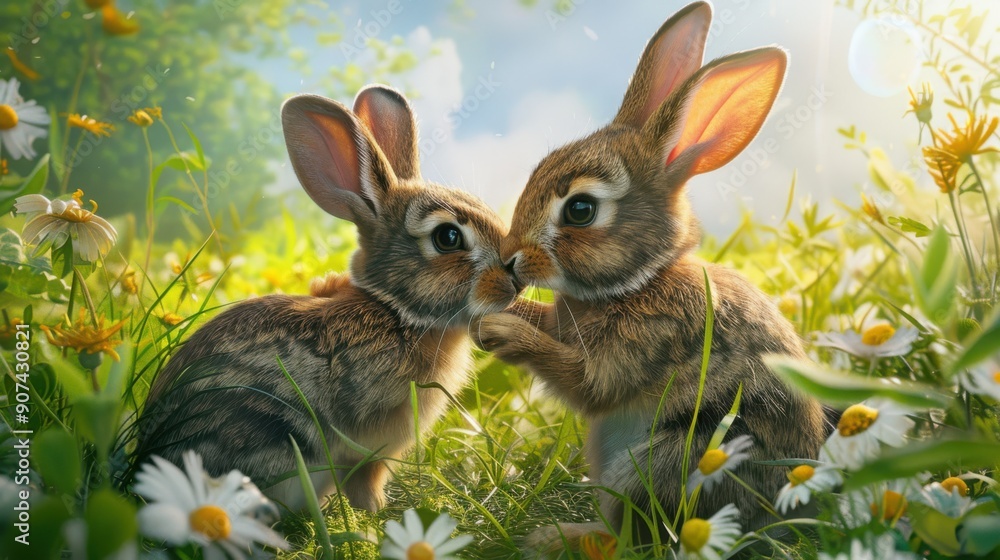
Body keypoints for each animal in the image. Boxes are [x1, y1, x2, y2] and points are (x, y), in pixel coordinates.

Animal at [135, 85, 520, 513]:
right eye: (448, 237)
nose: (516, 279)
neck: (396, 311)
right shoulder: (367, 449)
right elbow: (365, 483)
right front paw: (377, 517)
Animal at [474, 1, 826, 552]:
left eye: (580, 210)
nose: (510, 260)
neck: (642, 280)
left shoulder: (648, 341)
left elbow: (587, 383)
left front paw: (501, 331)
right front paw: (493, 316)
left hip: (675, 461)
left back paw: (558, 539)